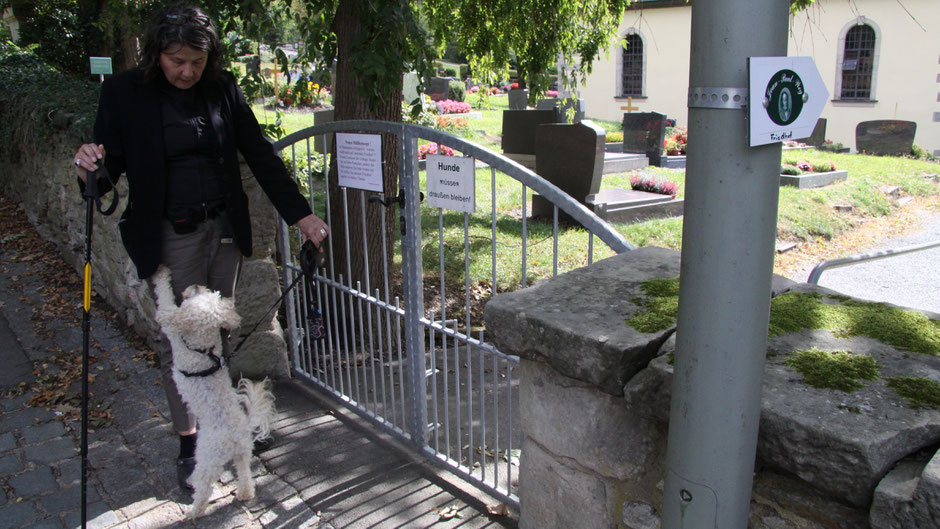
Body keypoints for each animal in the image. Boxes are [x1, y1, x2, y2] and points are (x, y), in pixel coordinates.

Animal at [151, 266, 276, 516]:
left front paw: (161, 274)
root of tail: (239, 431)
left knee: (204, 487)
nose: (196, 285)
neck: (203, 347)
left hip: (207, 459)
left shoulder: (173, 329)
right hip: (243, 453)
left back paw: (194, 512)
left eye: (198, 297)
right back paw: (245, 494)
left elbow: (165, 304)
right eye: (209, 293)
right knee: (245, 476)